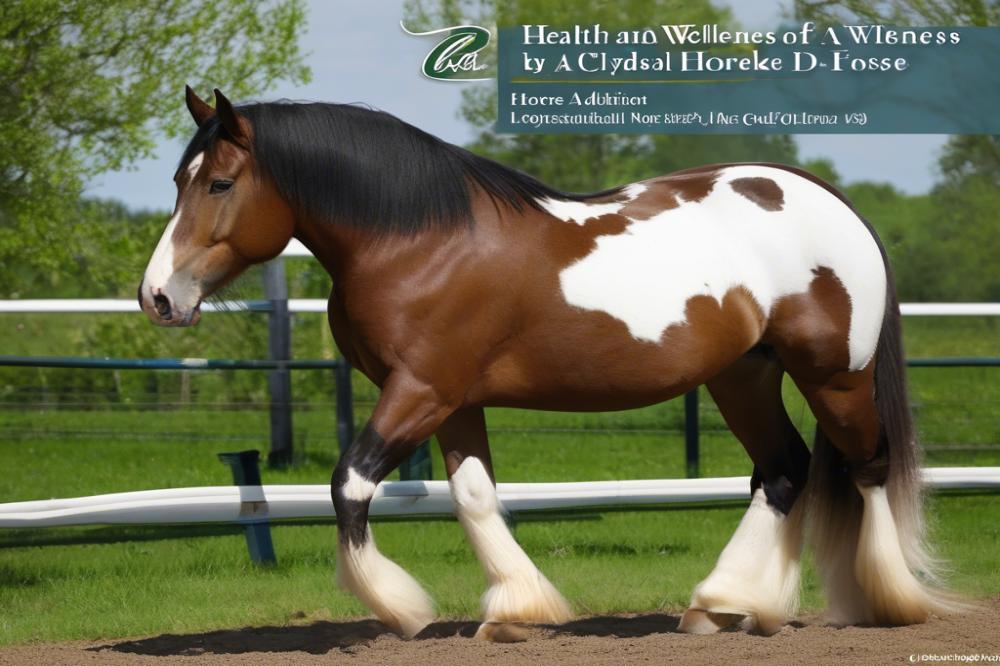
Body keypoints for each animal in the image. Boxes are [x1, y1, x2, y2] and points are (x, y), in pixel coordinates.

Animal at [137, 88, 948, 640]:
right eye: (177, 181)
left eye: (219, 183)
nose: (158, 297)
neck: (421, 241)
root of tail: (823, 197)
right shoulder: (454, 400)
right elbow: (473, 497)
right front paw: (518, 609)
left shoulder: (420, 389)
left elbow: (350, 484)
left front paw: (400, 607)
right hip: (743, 375)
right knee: (784, 471)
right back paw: (727, 605)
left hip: (835, 377)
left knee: (868, 468)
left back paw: (889, 602)